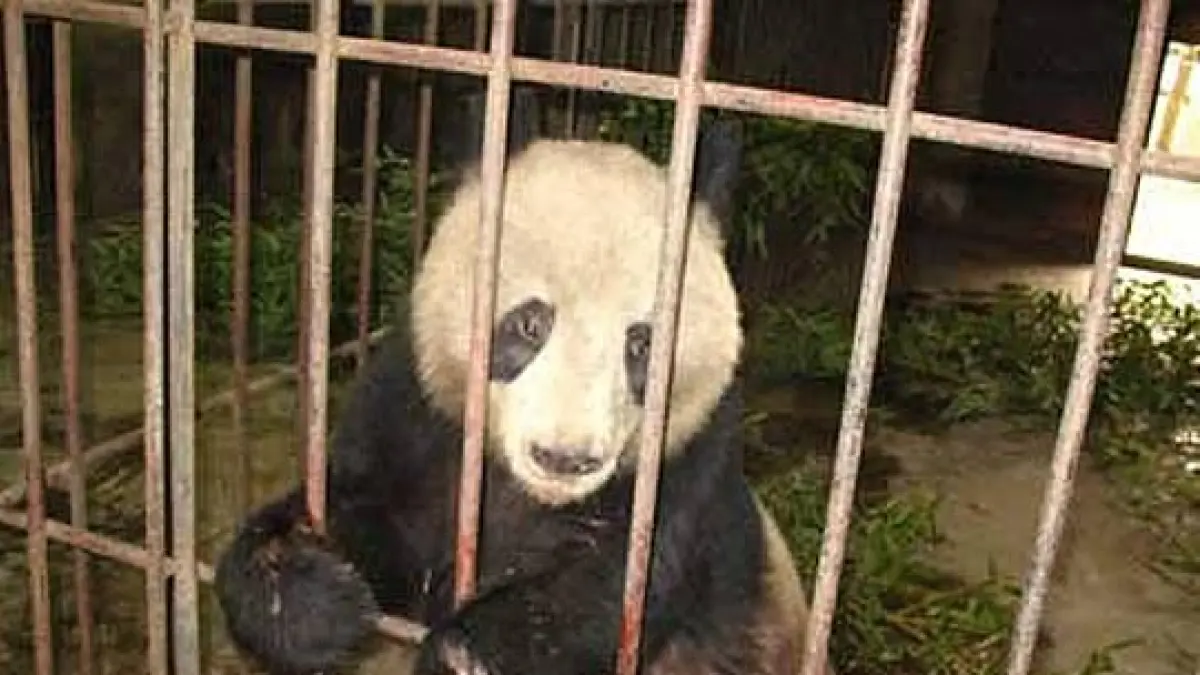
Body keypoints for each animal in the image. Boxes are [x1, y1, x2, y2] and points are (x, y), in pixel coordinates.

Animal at [213, 87, 821, 675]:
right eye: (530, 323)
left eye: (642, 344)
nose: (564, 458)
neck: (527, 491)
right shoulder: (415, 409)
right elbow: (368, 515)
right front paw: (304, 594)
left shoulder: (693, 460)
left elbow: (608, 593)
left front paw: (464, 655)